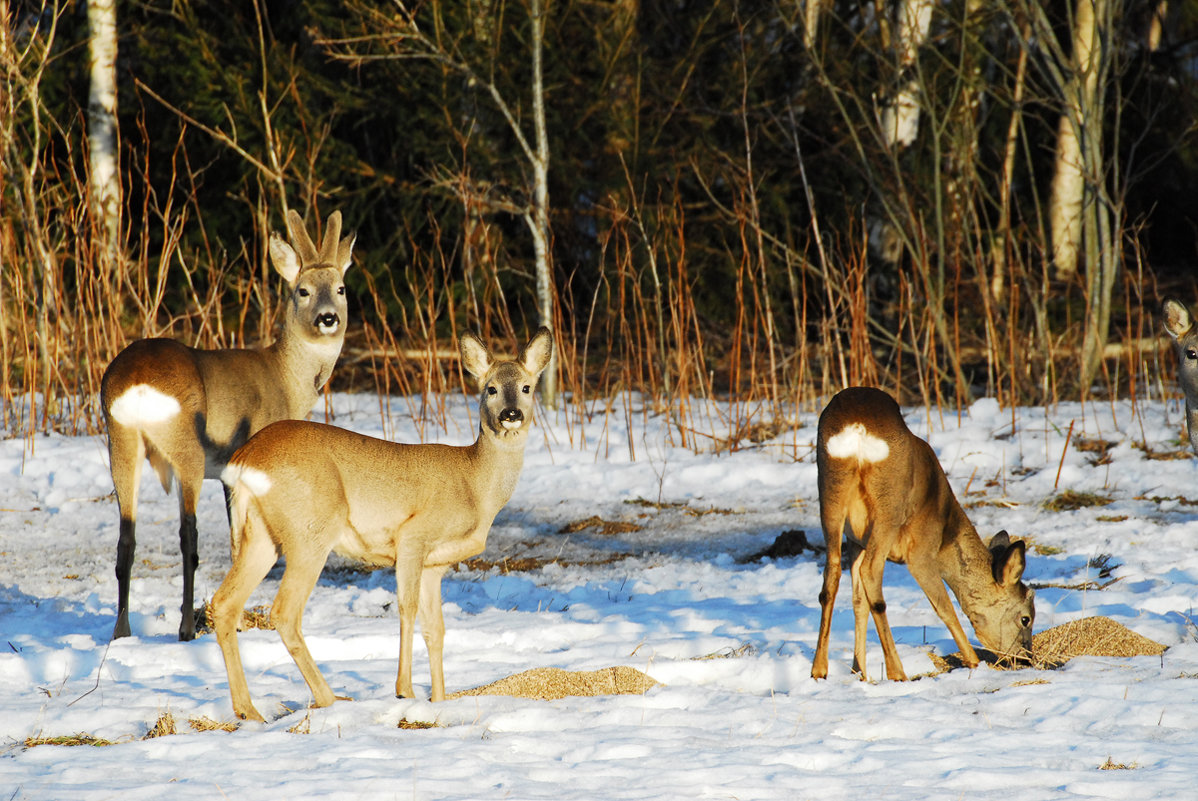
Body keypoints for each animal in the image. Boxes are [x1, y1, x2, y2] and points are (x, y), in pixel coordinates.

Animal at [101, 209, 354, 641]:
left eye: (340, 288)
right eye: (302, 291)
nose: (328, 318)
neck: (286, 379)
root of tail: (135, 383)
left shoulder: (228, 472)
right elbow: (239, 541)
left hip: (119, 440)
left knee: (126, 537)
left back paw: (122, 631)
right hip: (186, 447)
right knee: (188, 535)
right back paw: (186, 627)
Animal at [212, 328, 555, 723]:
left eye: (527, 387)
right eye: (491, 388)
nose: (512, 414)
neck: (475, 485)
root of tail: (245, 459)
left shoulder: (436, 565)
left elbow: (436, 629)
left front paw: (439, 701)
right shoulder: (412, 536)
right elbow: (407, 608)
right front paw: (404, 690)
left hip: (262, 535)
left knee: (224, 603)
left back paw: (248, 711)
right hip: (311, 529)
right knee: (283, 611)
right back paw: (329, 699)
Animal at [809, 387, 1035, 680]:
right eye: (1026, 618)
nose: (1027, 658)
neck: (945, 532)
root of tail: (857, 427)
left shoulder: (855, 540)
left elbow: (858, 601)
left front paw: (859, 671)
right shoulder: (921, 551)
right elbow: (944, 606)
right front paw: (974, 662)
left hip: (830, 494)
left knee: (831, 576)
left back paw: (819, 670)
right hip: (889, 506)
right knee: (871, 574)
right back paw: (897, 672)